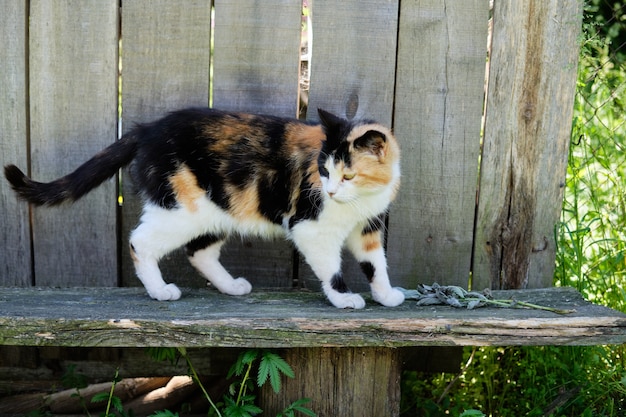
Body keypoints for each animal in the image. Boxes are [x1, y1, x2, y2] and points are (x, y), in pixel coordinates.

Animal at [4, 109, 402, 308]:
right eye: (323, 170)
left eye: (347, 175)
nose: (330, 191)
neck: (360, 199)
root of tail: (147, 129)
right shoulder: (311, 227)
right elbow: (331, 268)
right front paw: (343, 298)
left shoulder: (367, 227)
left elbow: (376, 263)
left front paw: (385, 296)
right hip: (181, 208)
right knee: (140, 242)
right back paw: (160, 290)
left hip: (219, 208)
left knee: (200, 251)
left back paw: (230, 286)